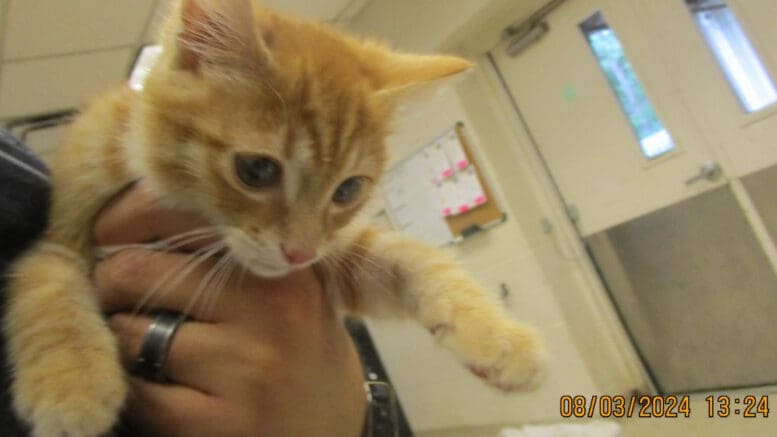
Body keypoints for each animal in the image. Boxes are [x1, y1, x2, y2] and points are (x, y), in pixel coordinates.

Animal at [3, 0, 544, 432]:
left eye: (348, 189)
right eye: (257, 170)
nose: (299, 252)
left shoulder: (334, 254)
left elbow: (407, 256)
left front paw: (497, 335)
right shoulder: (63, 225)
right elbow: (50, 282)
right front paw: (72, 385)